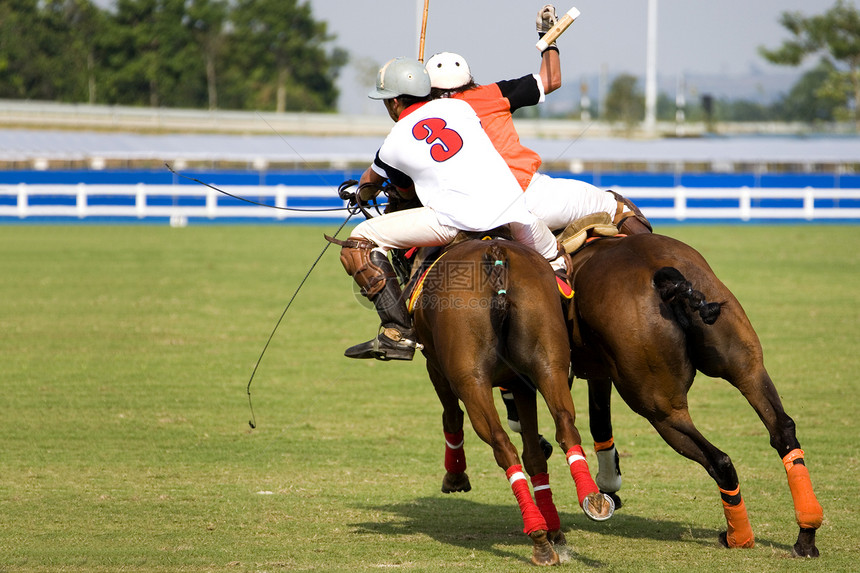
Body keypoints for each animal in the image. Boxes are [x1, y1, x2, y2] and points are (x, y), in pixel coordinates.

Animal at [408, 235, 616, 564]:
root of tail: (495, 254)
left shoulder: (436, 367)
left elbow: (451, 416)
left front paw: (455, 476)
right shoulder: (521, 384)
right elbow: (535, 455)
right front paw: (555, 527)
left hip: (471, 381)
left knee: (502, 444)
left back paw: (538, 538)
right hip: (549, 364)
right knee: (565, 427)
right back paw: (589, 500)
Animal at [564, 230, 828, 556]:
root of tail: (667, 277)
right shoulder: (596, 371)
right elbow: (599, 422)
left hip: (659, 407)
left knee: (720, 460)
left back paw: (739, 537)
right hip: (747, 367)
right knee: (783, 429)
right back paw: (806, 534)